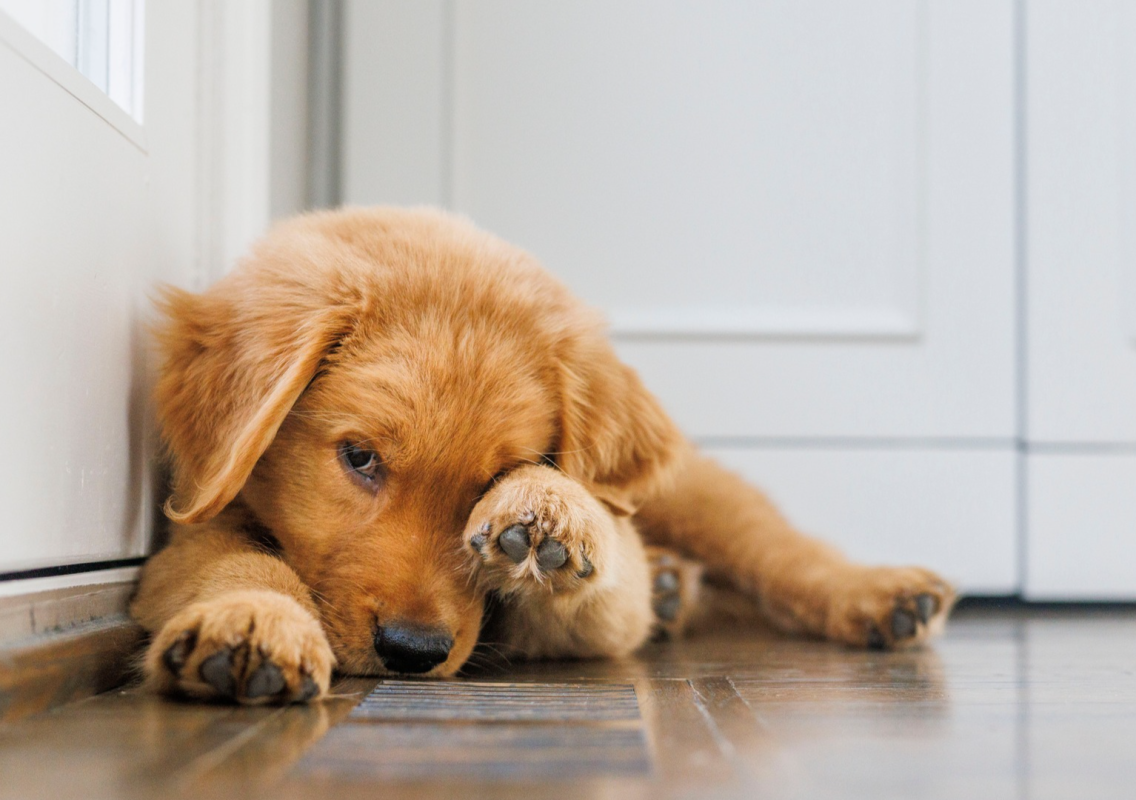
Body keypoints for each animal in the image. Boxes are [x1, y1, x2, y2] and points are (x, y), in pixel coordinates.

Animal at [128, 209, 954, 704]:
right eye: (359, 458)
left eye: (500, 474)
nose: (414, 651)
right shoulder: (199, 520)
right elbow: (235, 561)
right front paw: (252, 619)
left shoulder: (594, 616)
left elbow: (601, 566)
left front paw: (553, 513)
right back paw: (674, 585)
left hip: (695, 494)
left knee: (778, 546)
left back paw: (879, 594)